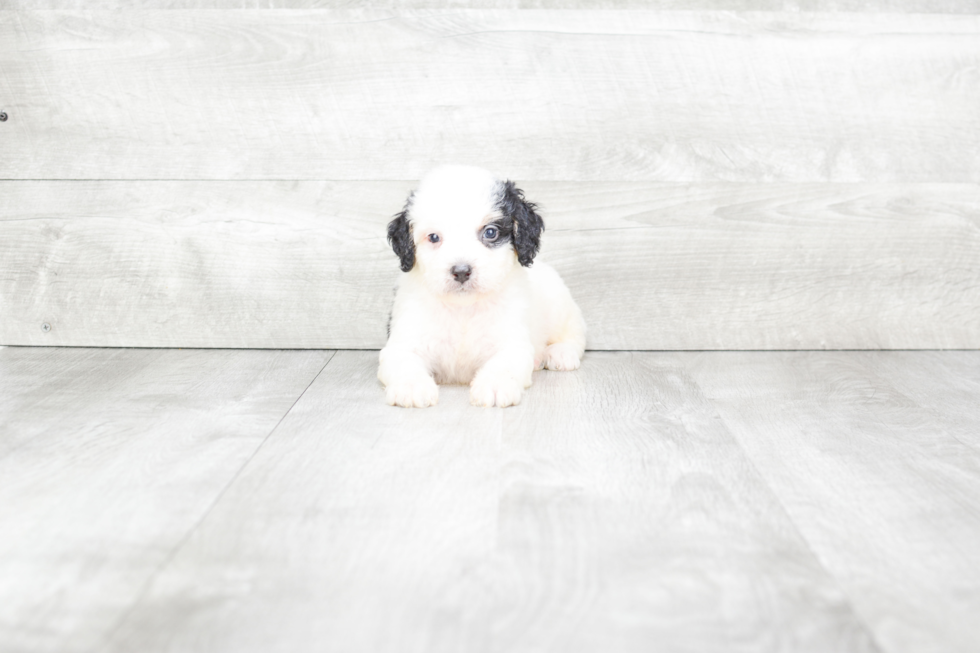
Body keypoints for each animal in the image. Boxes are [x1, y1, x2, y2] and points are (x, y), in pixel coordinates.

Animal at [378, 164, 584, 408]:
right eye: (434, 237)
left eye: (490, 232)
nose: (461, 271)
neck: (463, 309)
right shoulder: (405, 337)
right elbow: (403, 360)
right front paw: (411, 386)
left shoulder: (510, 341)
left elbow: (504, 364)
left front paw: (494, 386)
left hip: (560, 306)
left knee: (575, 332)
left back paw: (561, 352)